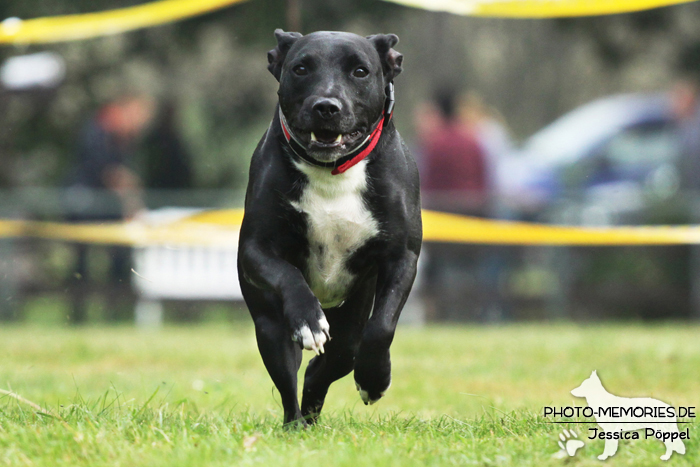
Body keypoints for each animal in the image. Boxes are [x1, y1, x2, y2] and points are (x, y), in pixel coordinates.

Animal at [238, 29, 418, 428]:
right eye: (301, 68)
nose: (326, 106)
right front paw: (309, 319)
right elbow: (288, 274)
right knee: (289, 378)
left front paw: (374, 378)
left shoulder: (402, 256)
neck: (332, 170)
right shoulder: (256, 249)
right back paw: (296, 424)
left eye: (361, 71)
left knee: (331, 362)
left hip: (350, 323)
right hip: (269, 326)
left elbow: (382, 326)